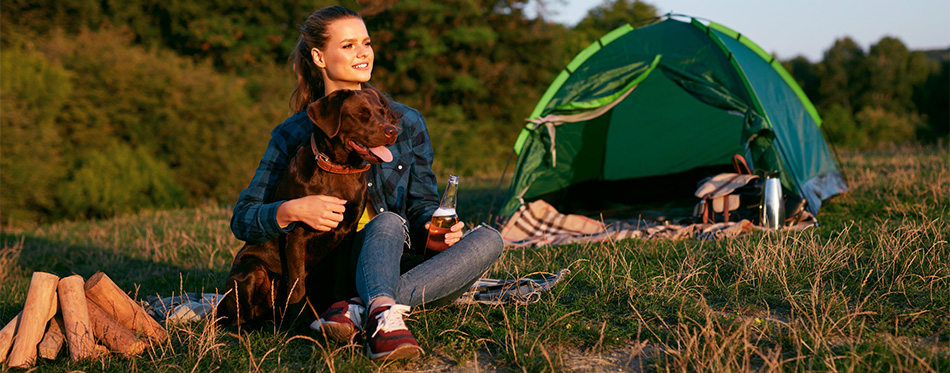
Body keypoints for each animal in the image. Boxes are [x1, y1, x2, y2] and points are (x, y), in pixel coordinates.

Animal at [218, 88, 398, 324]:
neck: (337, 170)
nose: (393, 131)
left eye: (382, 112)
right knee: (240, 317)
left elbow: (339, 280)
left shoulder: (346, 234)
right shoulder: (297, 236)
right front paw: (297, 323)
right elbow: (297, 287)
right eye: (361, 114)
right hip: (251, 270)